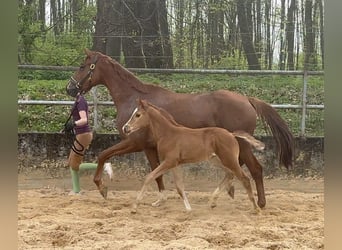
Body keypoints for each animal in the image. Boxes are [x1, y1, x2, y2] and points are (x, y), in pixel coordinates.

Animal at [123, 99, 264, 213]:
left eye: (137, 115)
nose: (125, 128)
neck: (168, 134)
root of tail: (231, 134)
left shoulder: (169, 162)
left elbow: (149, 177)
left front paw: (134, 207)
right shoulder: (175, 164)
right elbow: (179, 186)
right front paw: (189, 209)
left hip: (229, 160)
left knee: (244, 178)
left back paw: (256, 208)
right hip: (216, 160)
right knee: (229, 174)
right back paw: (212, 202)